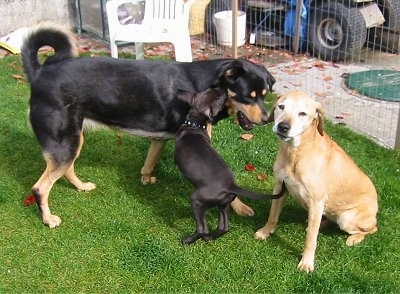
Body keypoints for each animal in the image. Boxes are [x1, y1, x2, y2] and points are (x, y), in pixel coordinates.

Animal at [21, 23, 276, 229]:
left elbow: (149, 162)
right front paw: (241, 206)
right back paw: (48, 219)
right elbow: (224, 182)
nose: (267, 119)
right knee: (40, 187)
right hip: (65, 142)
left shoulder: (160, 138)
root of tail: (39, 73)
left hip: (73, 139)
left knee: (67, 169)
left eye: (265, 94)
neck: (209, 82)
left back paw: (81, 186)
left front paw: (145, 179)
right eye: (248, 96)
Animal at [175, 88, 284, 243]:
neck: (194, 124)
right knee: (224, 227)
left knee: (202, 228)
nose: (222, 90)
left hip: (196, 200)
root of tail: (231, 185)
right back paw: (210, 237)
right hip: (223, 205)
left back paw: (189, 240)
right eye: (210, 93)